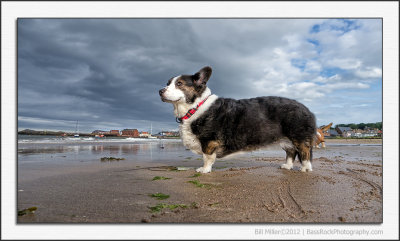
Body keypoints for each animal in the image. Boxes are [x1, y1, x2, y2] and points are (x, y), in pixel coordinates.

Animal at [158, 66, 318, 173]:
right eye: (167, 83)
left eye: (179, 84)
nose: (160, 91)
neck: (196, 107)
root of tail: (308, 110)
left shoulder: (208, 142)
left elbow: (207, 158)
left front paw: (204, 170)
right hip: (286, 141)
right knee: (291, 152)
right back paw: (287, 166)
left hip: (298, 137)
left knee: (304, 152)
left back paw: (305, 168)